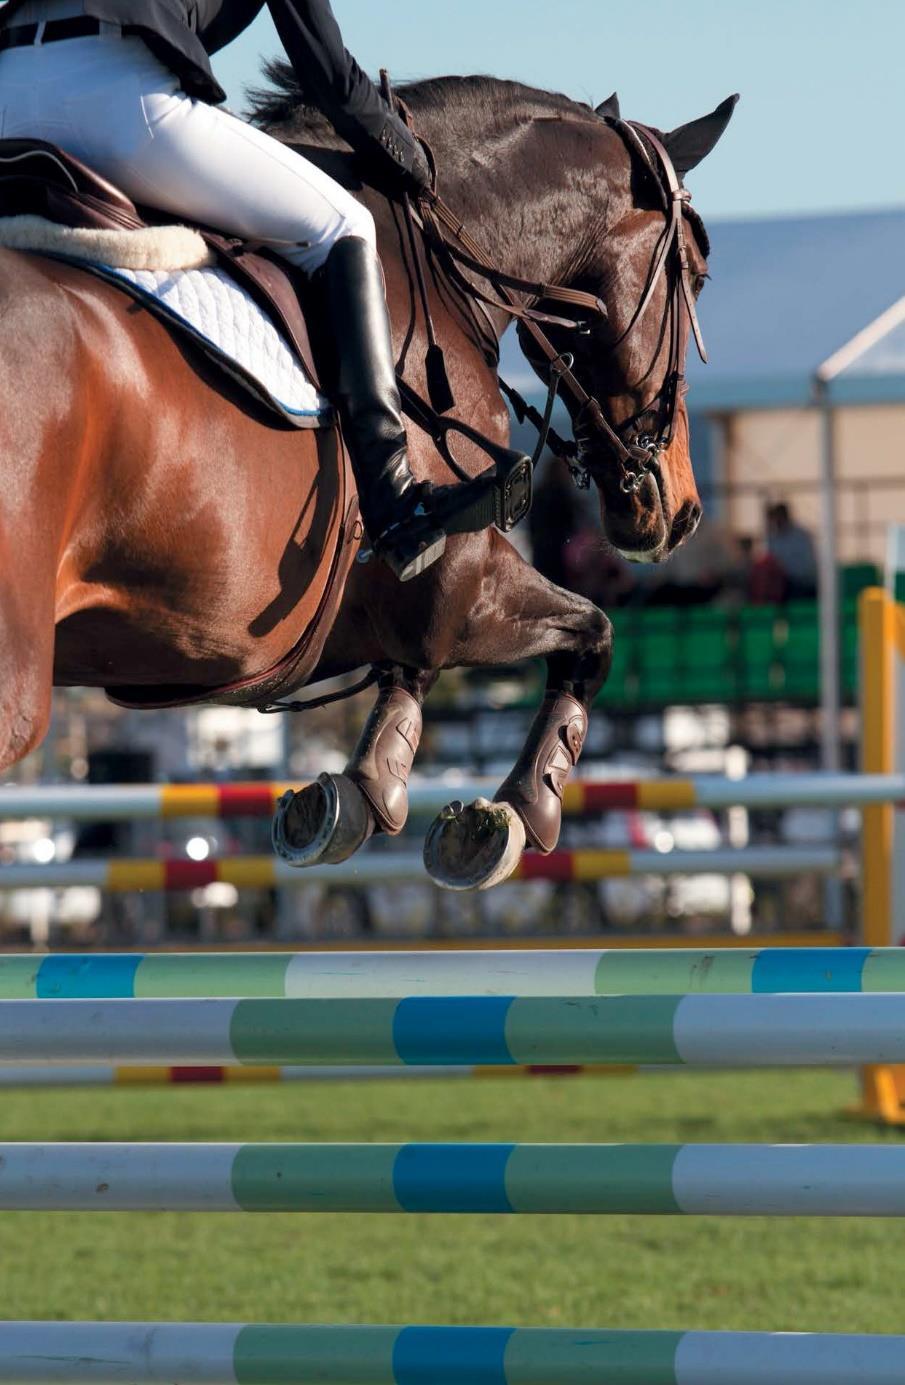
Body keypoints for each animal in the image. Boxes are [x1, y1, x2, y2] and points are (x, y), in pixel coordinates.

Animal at [0, 67, 731, 886]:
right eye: (699, 277)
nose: (679, 511)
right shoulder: (459, 579)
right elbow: (590, 635)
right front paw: (513, 810)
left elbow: (437, 663)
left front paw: (377, 792)